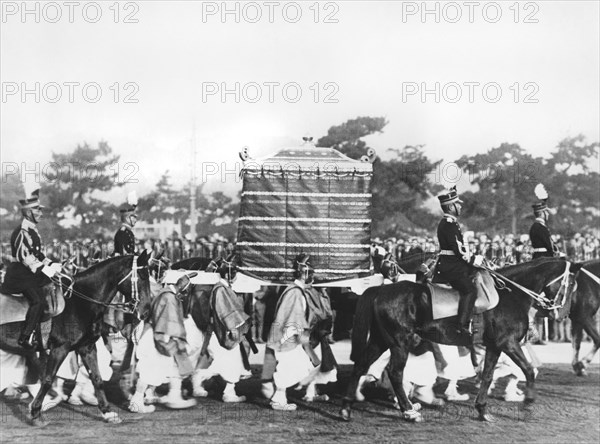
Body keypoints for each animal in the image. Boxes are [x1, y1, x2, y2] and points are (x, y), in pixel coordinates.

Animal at [0, 251, 152, 424]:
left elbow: (97, 379)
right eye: (142, 276)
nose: (146, 311)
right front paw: (36, 412)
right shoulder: (59, 348)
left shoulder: (87, 348)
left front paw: (107, 412)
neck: (81, 302)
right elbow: (48, 379)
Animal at [342, 256, 580, 424]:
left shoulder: (494, 346)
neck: (511, 295)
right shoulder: (508, 343)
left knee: (362, 364)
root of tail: (380, 289)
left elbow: (487, 376)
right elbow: (528, 370)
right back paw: (409, 410)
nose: (563, 314)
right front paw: (528, 402)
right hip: (400, 342)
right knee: (395, 372)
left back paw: (347, 407)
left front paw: (483, 410)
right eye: (571, 285)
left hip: (381, 340)